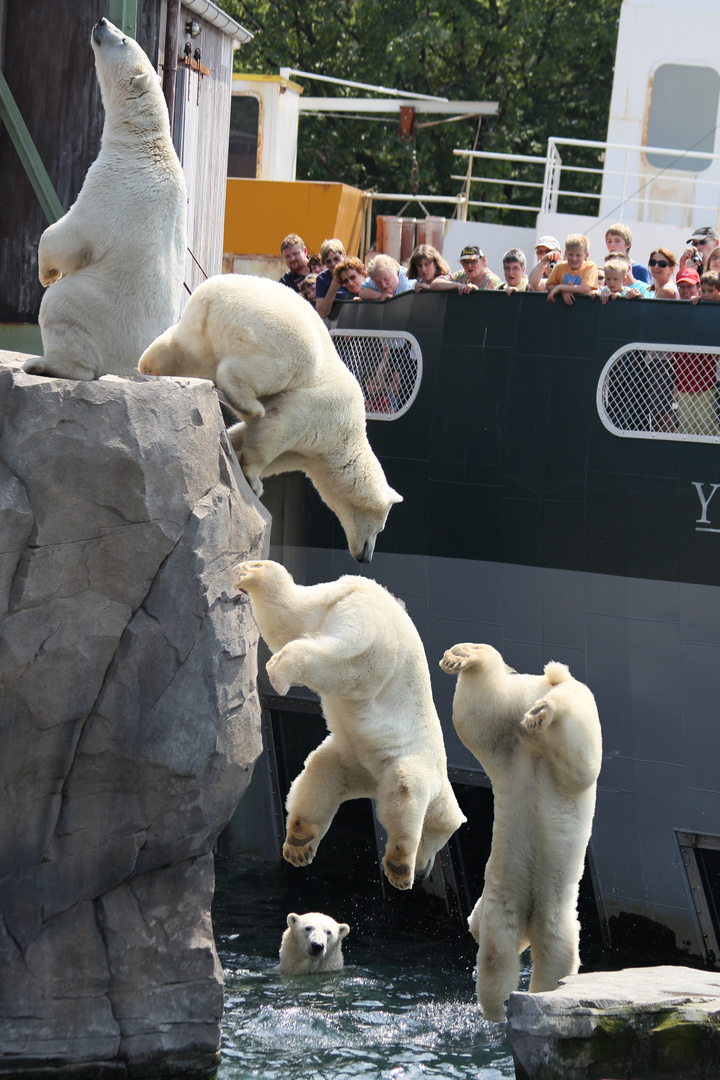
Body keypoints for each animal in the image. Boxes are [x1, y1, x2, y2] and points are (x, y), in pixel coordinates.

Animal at [23, 16, 184, 384]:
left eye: (123, 40)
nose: (101, 21)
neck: (143, 143)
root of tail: (134, 370)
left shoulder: (110, 181)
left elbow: (70, 234)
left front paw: (47, 273)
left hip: (96, 307)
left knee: (59, 307)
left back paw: (44, 363)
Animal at [138, 274, 403, 565]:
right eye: (381, 527)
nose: (366, 557)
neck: (346, 440)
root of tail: (210, 293)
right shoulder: (322, 411)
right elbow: (278, 427)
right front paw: (254, 480)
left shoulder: (307, 455)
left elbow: (260, 441)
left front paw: (236, 448)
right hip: (272, 330)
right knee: (272, 365)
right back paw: (249, 404)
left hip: (195, 333)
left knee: (174, 350)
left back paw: (148, 367)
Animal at [234, 561, 464, 889]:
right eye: (440, 843)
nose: (423, 872)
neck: (441, 777)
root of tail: (361, 584)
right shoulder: (417, 764)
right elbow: (406, 788)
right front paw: (400, 869)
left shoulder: (359, 765)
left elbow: (323, 776)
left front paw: (299, 846)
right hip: (379, 644)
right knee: (349, 665)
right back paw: (280, 670)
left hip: (332, 607)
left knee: (289, 616)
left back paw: (253, 573)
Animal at [440, 639, 604, 1019]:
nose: (472, 930)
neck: (529, 911)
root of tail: (543, 684)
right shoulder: (505, 903)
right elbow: (498, 959)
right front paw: (501, 1010)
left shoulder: (542, 913)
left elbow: (554, 959)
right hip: (507, 735)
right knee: (478, 714)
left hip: (547, 722)